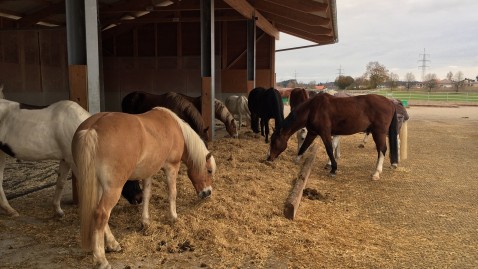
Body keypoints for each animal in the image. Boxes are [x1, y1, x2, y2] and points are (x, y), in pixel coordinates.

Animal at [72, 105, 216, 266]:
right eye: (209, 171)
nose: (207, 192)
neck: (176, 128)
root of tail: (92, 129)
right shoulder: (171, 166)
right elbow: (172, 192)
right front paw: (174, 217)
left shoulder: (149, 171)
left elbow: (147, 194)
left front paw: (145, 221)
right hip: (113, 188)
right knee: (101, 214)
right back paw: (101, 259)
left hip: (98, 186)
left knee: (98, 213)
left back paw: (113, 244)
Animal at [268, 93, 400, 179]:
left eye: (274, 141)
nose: (269, 158)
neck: (313, 109)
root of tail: (390, 102)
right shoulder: (312, 133)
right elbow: (304, 147)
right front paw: (296, 159)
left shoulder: (325, 133)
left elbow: (329, 149)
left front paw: (333, 169)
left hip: (379, 132)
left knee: (382, 149)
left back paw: (376, 173)